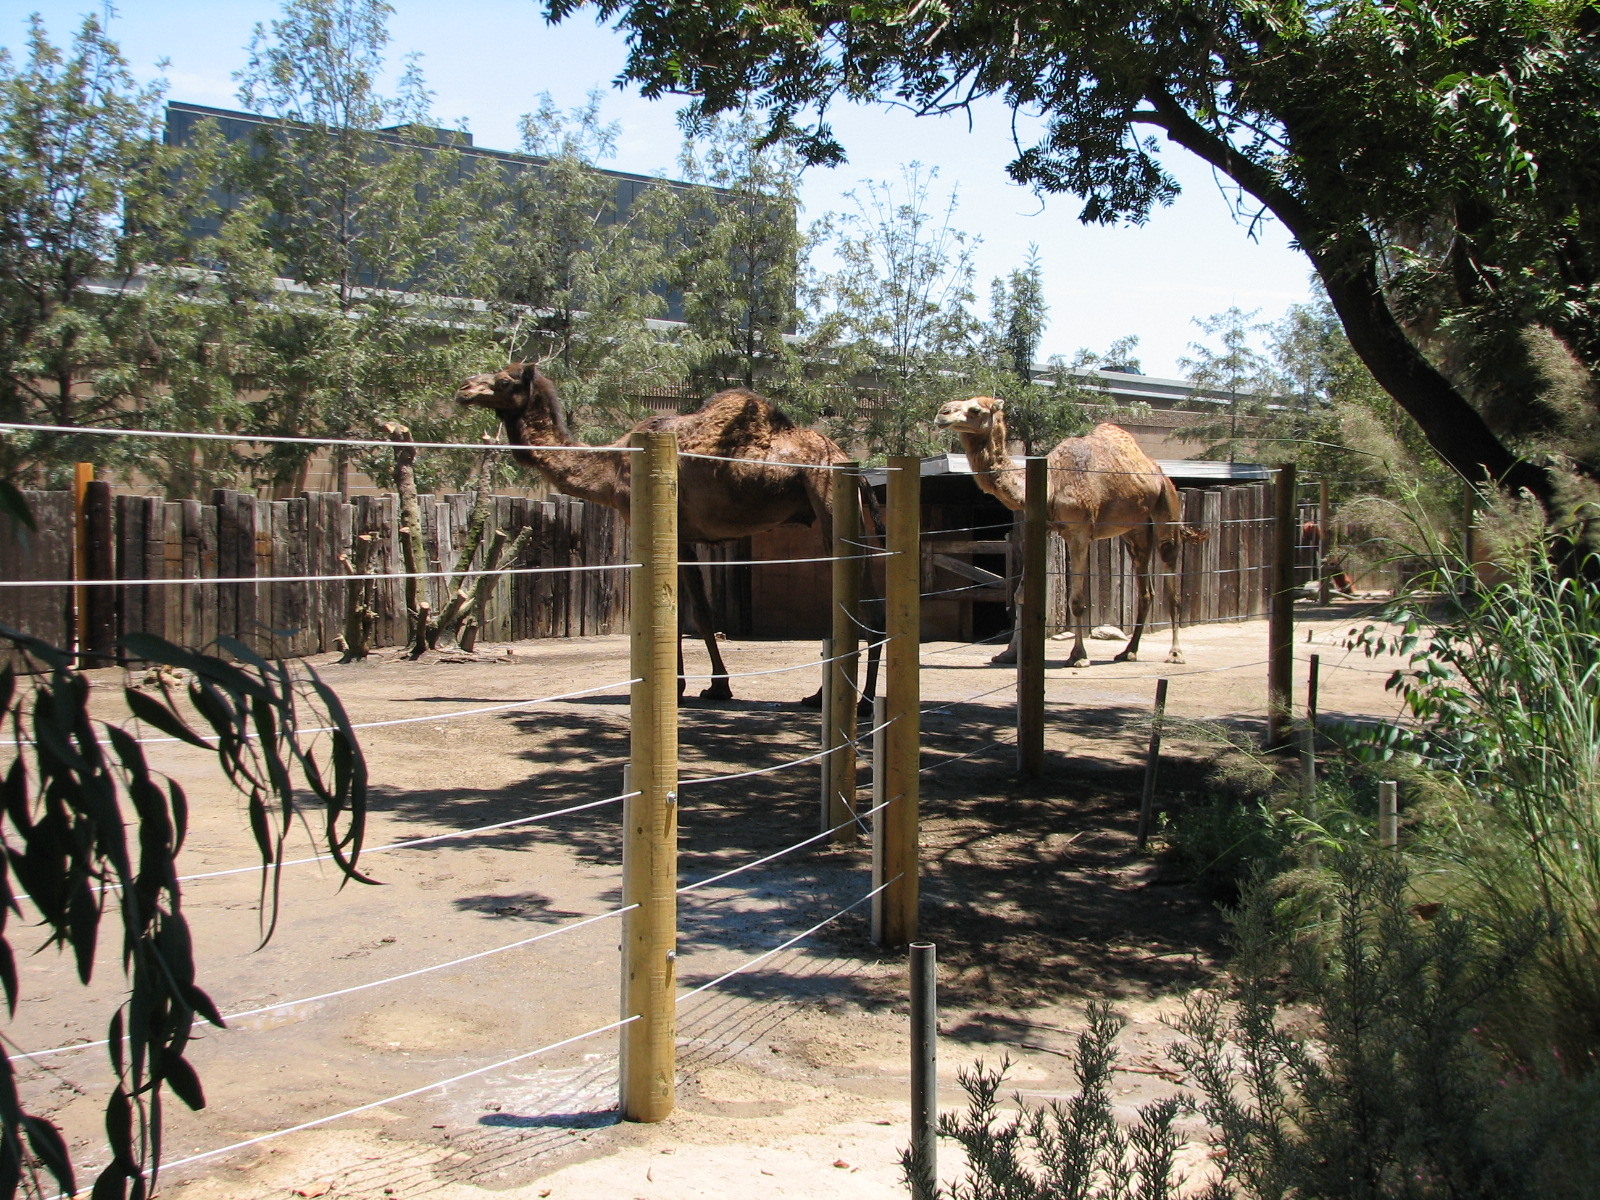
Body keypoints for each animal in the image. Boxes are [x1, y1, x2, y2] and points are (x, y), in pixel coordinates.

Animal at [455, 360, 879, 704]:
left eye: (505, 380)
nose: (464, 388)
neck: (612, 465)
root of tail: (851, 466)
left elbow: (671, 609)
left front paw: (678, 688)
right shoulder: (685, 534)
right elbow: (700, 612)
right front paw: (717, 686)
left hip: (828, 501)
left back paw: (849, 700)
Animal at [933, 396, 1206, 668]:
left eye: (975, 409)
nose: (942, 413)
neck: (1052, 482)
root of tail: (1159, 472)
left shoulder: (1079, 534)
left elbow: (1077, 600)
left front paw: (1078, 655)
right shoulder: (1043, 528)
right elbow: (1021, 594)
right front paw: (1008, 654)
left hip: (1166, 510)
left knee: (1172, 584)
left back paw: (1175, 653)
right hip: (1135, 531)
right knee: (1146, 591)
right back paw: (1128, 652)